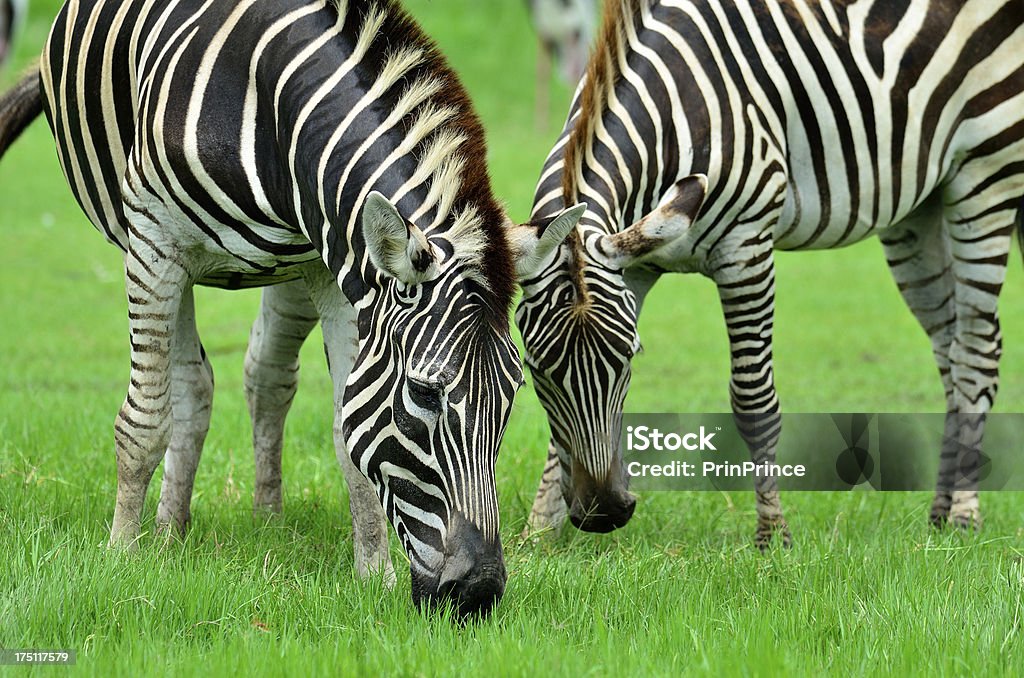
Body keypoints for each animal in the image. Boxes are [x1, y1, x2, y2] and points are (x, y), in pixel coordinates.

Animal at [0, 0, 585, 618]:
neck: (271, 108)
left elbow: (347, 431)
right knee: (189, 386)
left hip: (291, 268)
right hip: (147, 247)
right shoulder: (156, 243)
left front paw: (374, 575)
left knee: (264, 377)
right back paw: (165, 535)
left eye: (512, 393)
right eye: (424, 394)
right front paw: (120, 559)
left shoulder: (338, 267)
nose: (479, 592)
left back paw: (262, 522)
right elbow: (144, 424)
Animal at [516, 0, 1024, 548]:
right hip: (922, 206)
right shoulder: (635, 263)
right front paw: (538, 532)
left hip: (987, 174)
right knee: (950, 348)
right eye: (537, 371)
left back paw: (965, 516)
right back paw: (940, 513)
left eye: (630, 358)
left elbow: (753, 398)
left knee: (976, 350)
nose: (603, 513)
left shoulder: (746, 247)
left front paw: (773, 534)